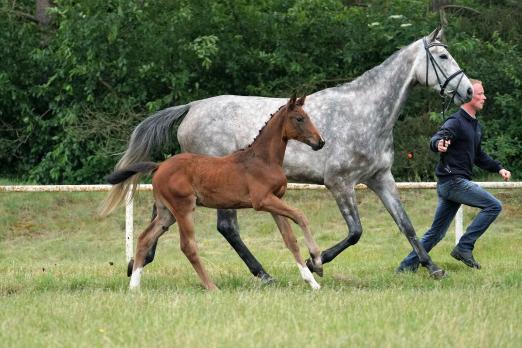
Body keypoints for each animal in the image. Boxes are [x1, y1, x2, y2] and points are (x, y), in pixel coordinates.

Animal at [99, 96, 322, 290]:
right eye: (299, 118)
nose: (320, 142)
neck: (262, 159)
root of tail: (159, 166)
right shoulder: (262, 201)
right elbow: (301, 216)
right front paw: (317, 260)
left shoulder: (275, 201)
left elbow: (290, 239)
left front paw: (312, 281)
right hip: (183, 208)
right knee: (188, 246)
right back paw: (211, 286)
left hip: (166, 213)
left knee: (145, 238)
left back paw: (134, 286)